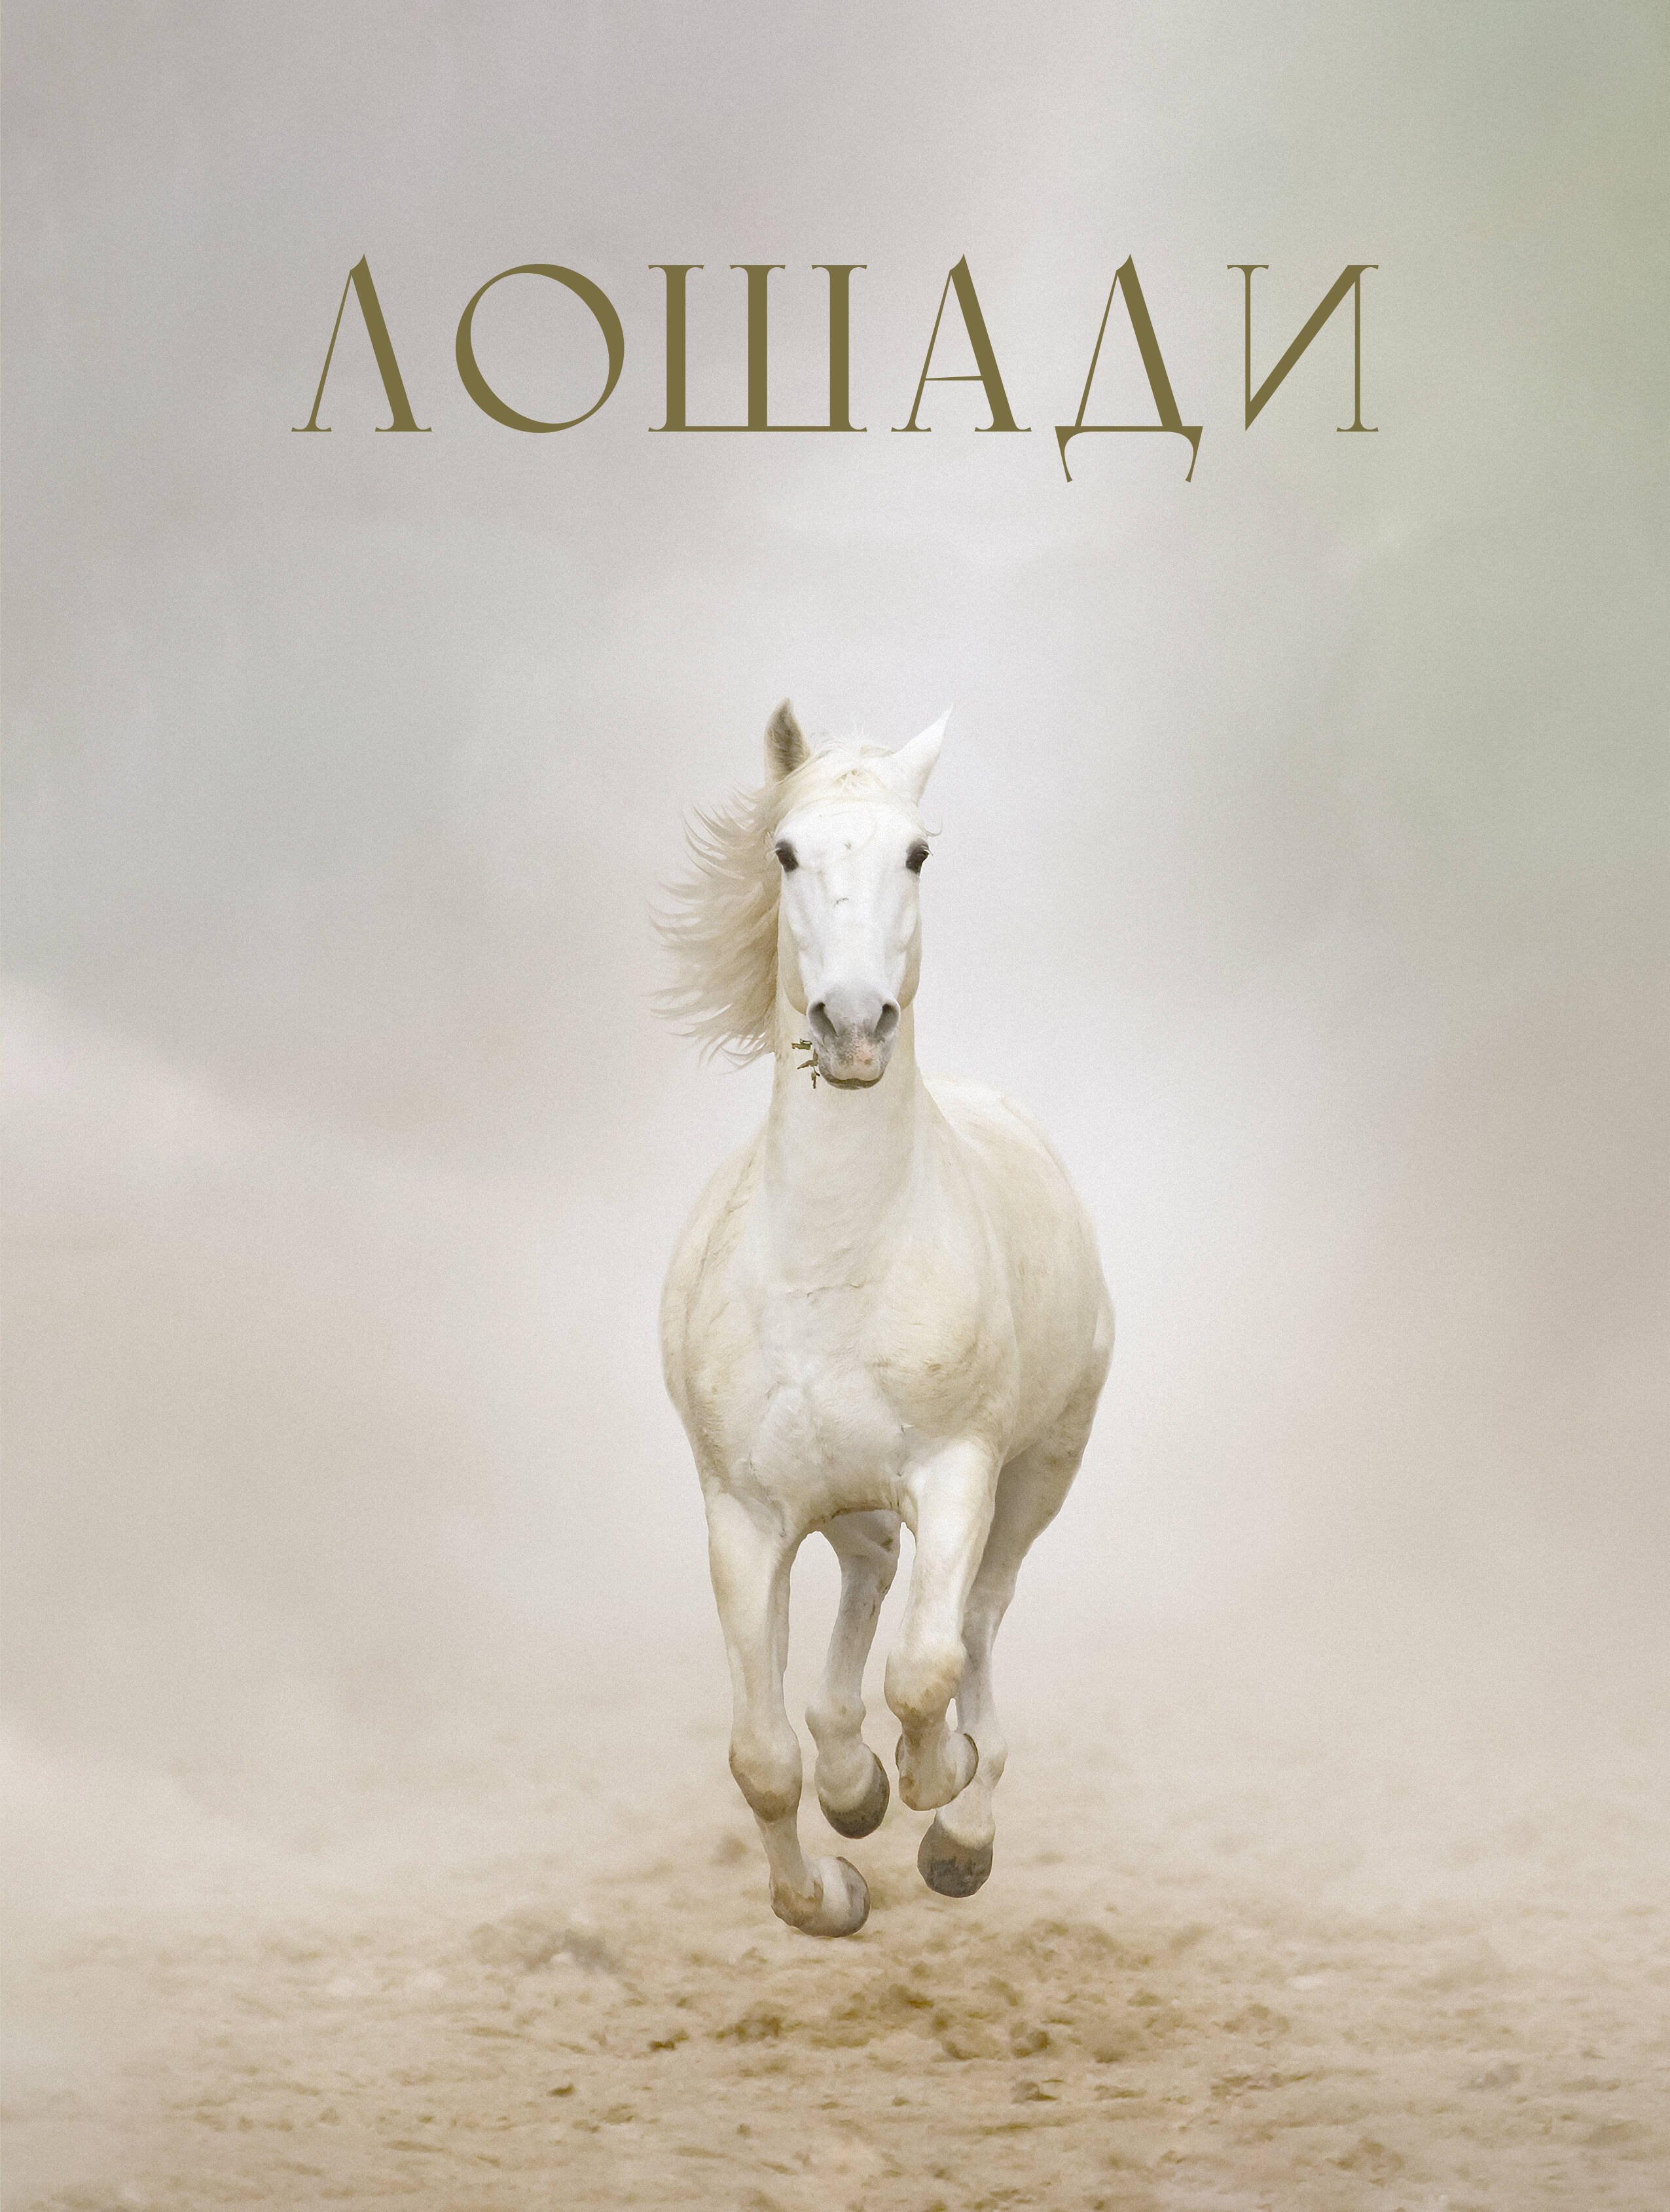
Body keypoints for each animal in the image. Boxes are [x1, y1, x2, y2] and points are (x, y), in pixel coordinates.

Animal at [659, 701, 1113, 1937]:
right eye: (784, 851)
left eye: (916, 853)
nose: (855, 1025)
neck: (835, 1263)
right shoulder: (743, 1515)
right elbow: (761, 1756)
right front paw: (828, 1884)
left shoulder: (956, 1473)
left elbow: (927, 1669)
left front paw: (933, 1786)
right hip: (846, 1501)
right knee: (864, 1583)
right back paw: (854, 1780)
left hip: (1037, 1475)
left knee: (980, 1622)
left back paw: (958, 1821)